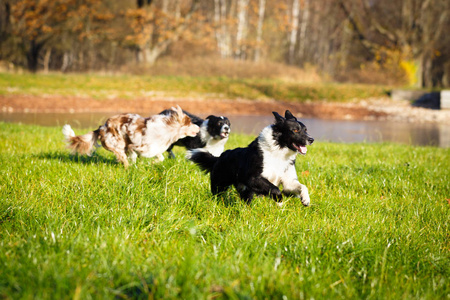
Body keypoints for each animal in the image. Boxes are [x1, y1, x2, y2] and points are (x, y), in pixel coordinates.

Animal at [62, 105, 199, 166]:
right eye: (190, 122)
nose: (198, 128)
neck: (167, 130)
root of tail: (102, 127)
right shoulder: (134, 146)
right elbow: (133, 155)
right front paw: (136, 165)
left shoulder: (154, 149)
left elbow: (160, 158)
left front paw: (152, 163)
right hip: (117, 145)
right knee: (124, 159)